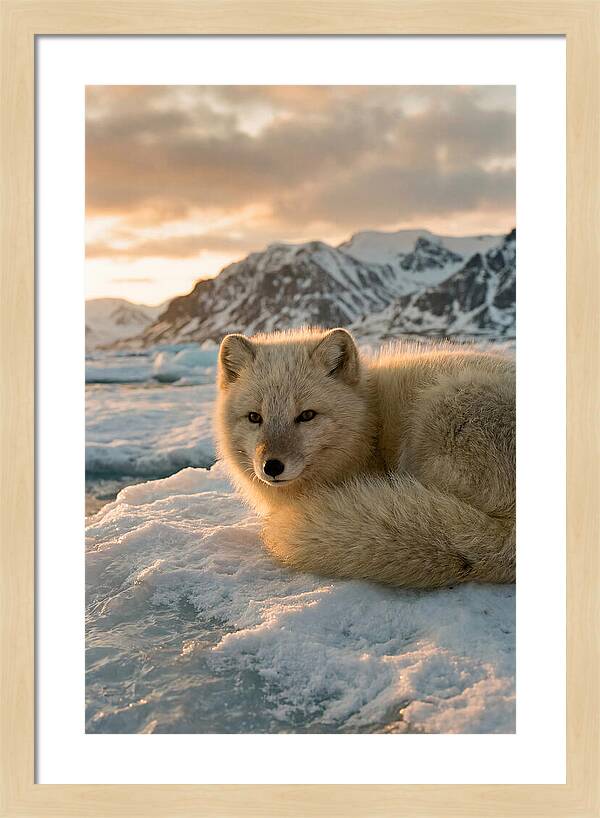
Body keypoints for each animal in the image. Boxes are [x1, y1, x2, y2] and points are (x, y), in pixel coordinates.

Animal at [215, 327, 515, 588]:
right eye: (255, 417)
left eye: (307, 415)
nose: (272, 466)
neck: (370, 423)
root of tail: (509, 538)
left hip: (438, 411)